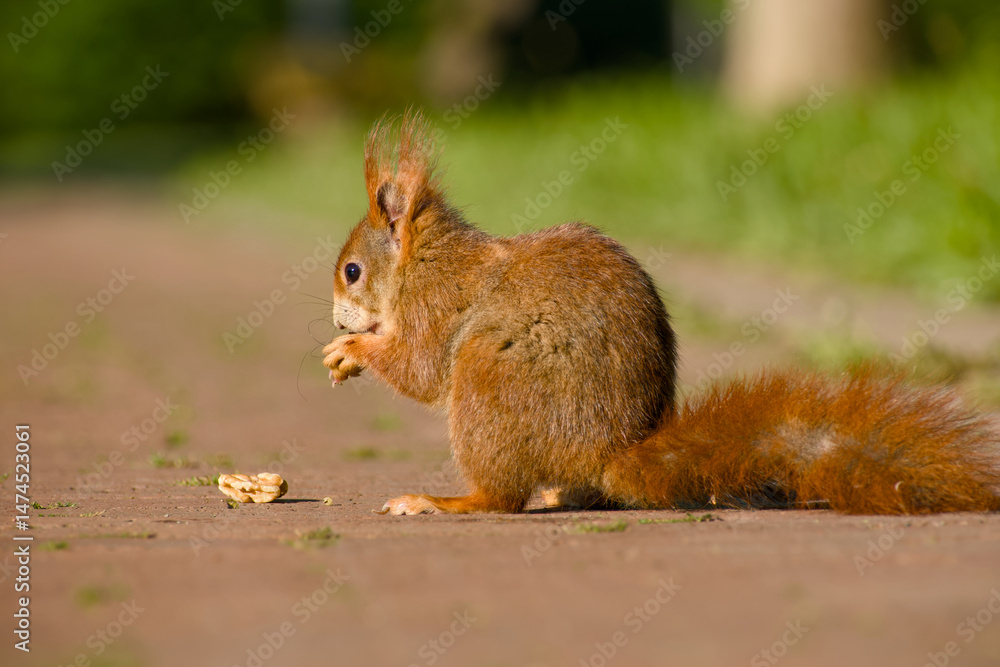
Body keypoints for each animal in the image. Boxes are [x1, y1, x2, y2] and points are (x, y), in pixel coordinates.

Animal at [322, 111, 1000, 516]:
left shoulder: (439, 305)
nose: (336, 321)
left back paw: (445, 502)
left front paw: (354, 351)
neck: (424, 261)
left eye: (352, 271)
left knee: (500, 498)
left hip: (490, 377)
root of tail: (606, 452)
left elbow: (419, 369)